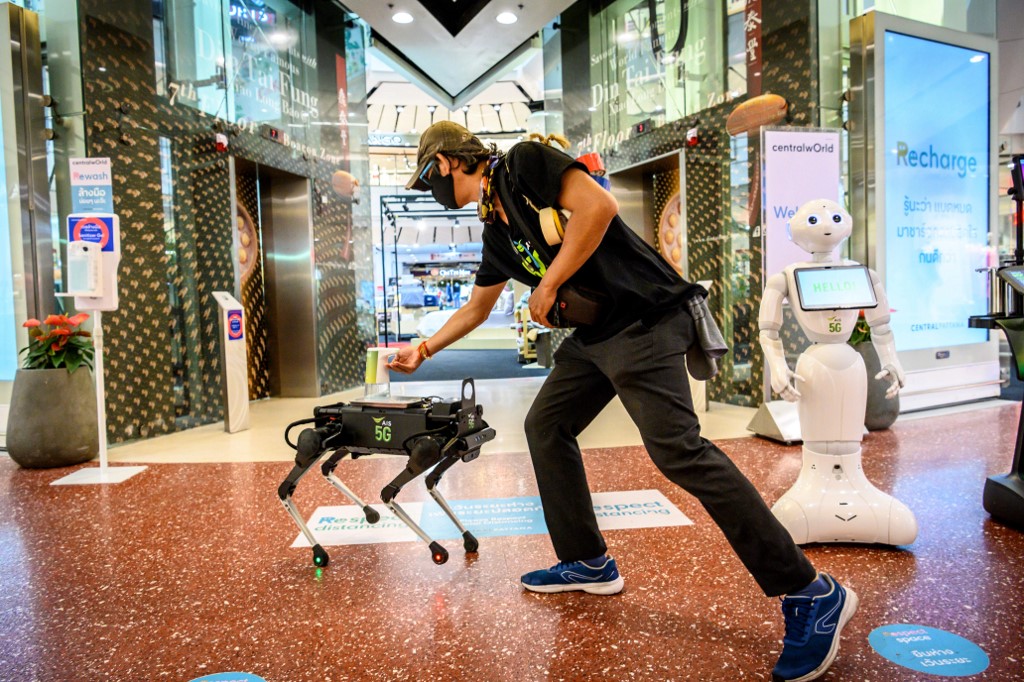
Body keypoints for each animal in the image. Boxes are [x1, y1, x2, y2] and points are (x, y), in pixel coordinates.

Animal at [276, 374, 491, 565]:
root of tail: (327, 412)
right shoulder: (424, 452)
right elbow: (387, 494)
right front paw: (437, 550)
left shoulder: (447, 453)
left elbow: (430, 482)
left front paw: (468, 539)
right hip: (319, 445)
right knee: (286, 487)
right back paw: (318, 552)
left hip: (346, 445)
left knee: (326, 467)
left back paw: (368, 512)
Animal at [761, 196, 921, 540]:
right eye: (811, 219)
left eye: (836, 217)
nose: (826, 225)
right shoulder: (778, 280)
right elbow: (768, 328)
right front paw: (783, 381)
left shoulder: (870, 276)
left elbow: (880, 324)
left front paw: (893, 373)